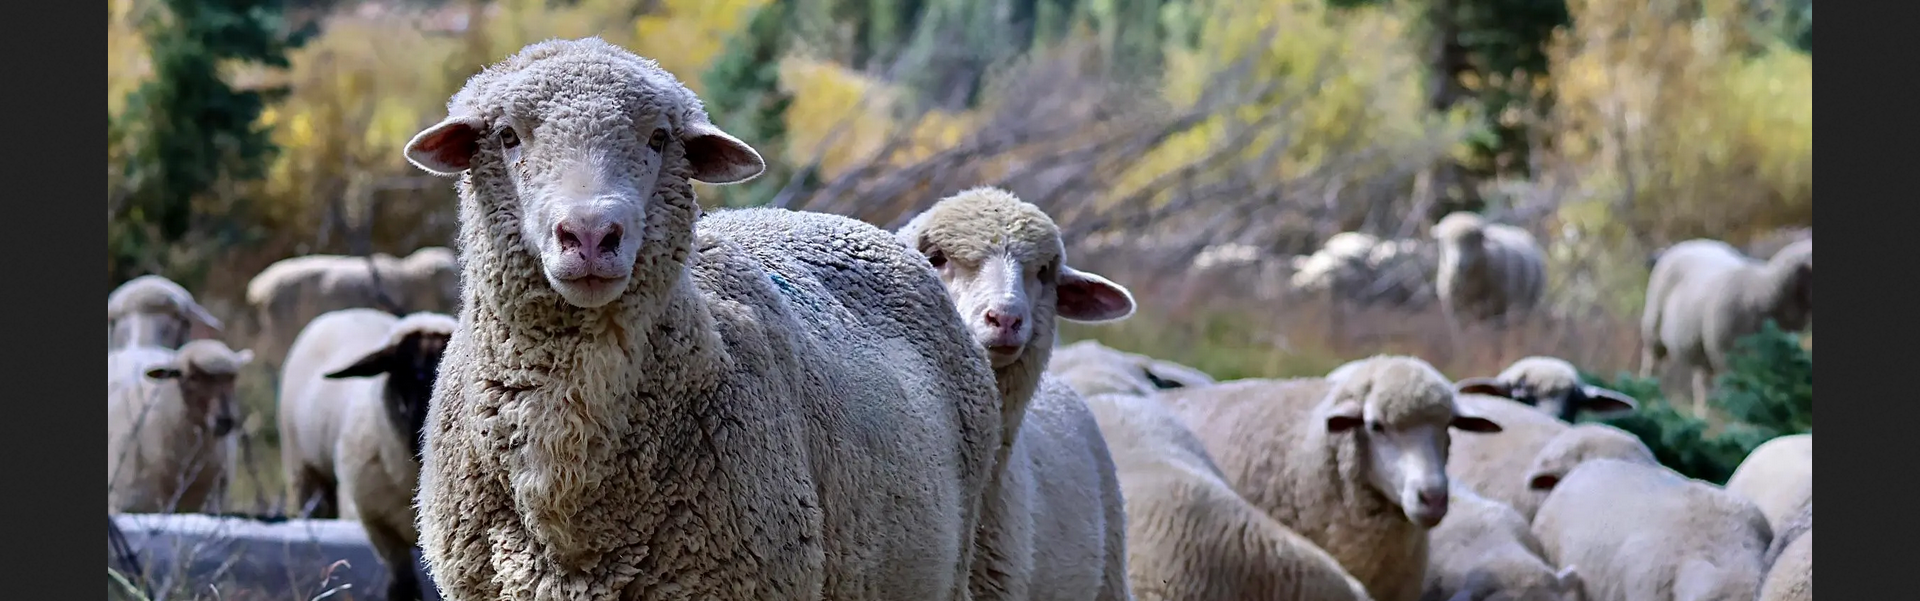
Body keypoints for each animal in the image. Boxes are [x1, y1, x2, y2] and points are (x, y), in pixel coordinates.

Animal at [1639, 237, 1812, 416]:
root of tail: (1689, 243)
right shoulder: (1729, 359)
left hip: (1700, 349)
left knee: (1701, 384)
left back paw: (1701, 416)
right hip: (1654, 330)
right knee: (1651, 366)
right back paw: (1646, 398)